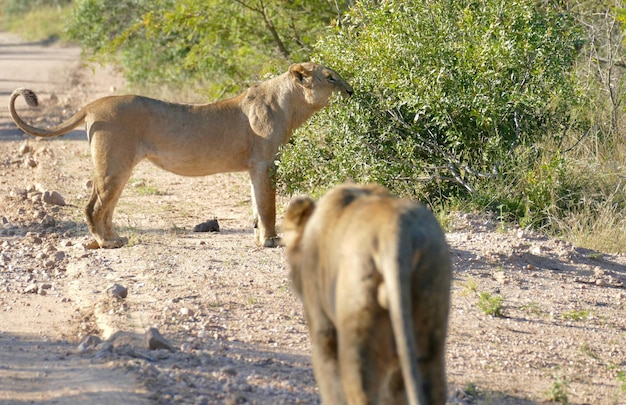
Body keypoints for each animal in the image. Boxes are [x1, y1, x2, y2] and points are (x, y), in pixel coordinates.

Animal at [8, 63, 352, 248]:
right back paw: (107, 243)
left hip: (118, 167)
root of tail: (93, 104)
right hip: (114, 165)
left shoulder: (255, 168)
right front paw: (270, 241)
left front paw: (259, 237)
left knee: (105, 207)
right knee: (93, 206)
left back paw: (116, 237)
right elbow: (267, 206)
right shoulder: (265, 162)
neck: (291, 105)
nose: (350, 91)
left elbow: (257, 204)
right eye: (331, 77)